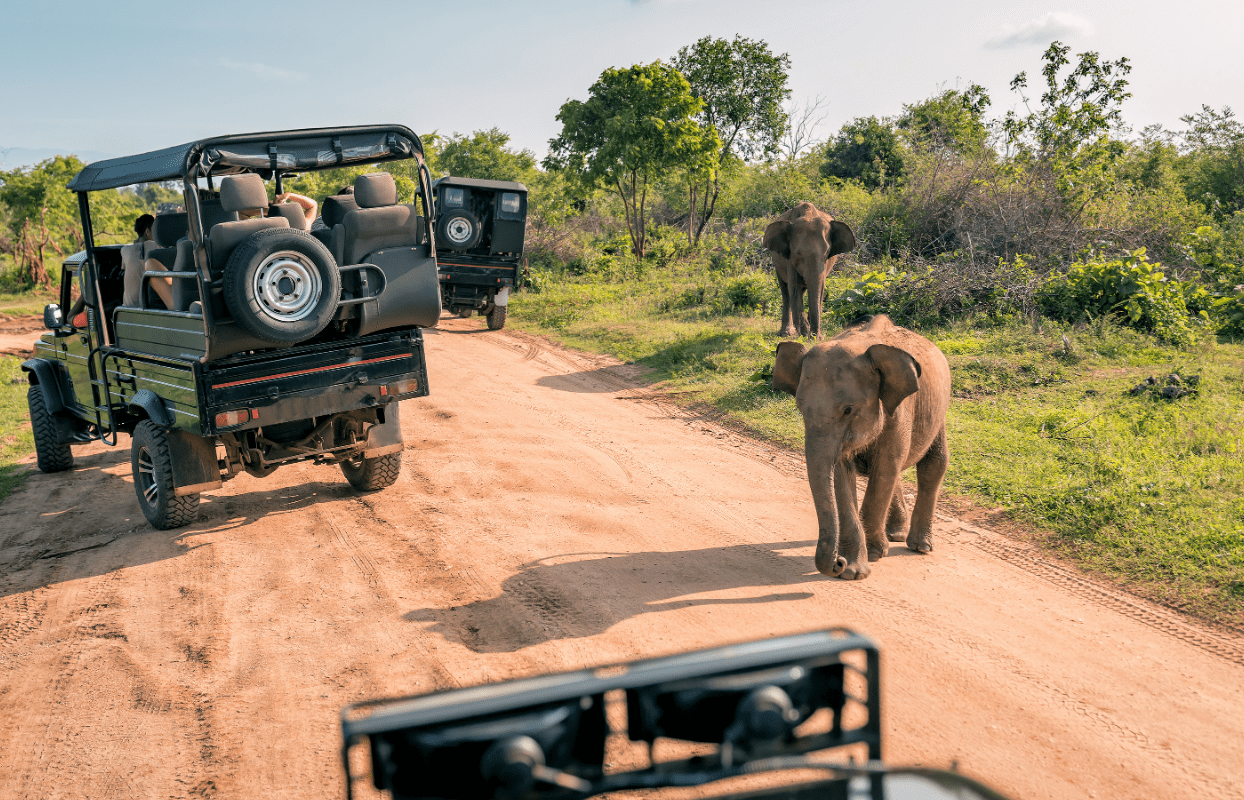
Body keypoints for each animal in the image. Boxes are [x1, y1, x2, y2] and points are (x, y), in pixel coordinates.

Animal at [762, 202, 856, 339]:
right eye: (798, 254)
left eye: (827, 253)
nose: (816, 336)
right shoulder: (790, 258)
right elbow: (794, 288)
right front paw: (805, 334)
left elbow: (819, 288)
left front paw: (814, 337)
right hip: (777, 263)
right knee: (786, 291)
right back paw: (786, 333)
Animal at [771, 314, 951, 580]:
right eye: (801, 409)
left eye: (848, 410)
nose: (837, 562)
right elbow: (841, 474)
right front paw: (853, 570)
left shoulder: (900, 411)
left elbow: (886, 466)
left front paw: (874, 554)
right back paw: (895, 534)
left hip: (939, 411)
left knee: (933, 463)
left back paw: (920, 547)